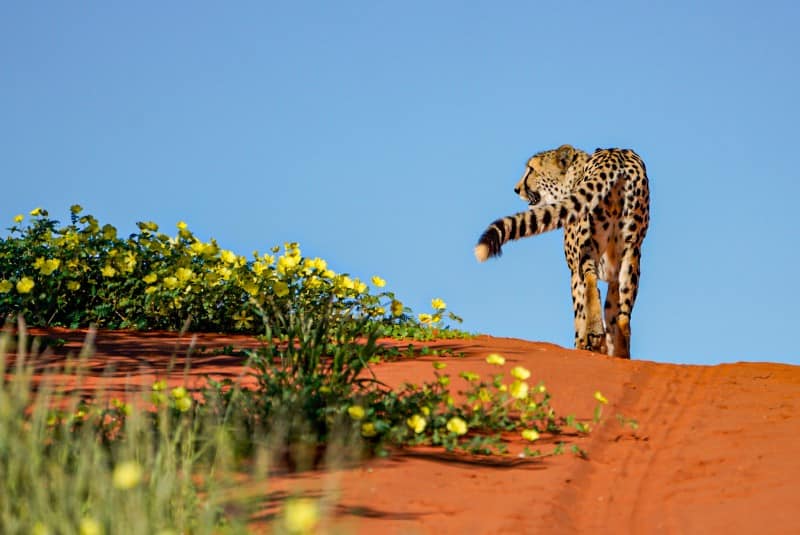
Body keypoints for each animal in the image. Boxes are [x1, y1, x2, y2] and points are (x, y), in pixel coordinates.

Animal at [476, 146, 648, 360]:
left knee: (590, 281)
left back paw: (593, 331)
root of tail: (617, 155)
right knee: (624, 315)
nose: (516, 189)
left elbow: (580, 306)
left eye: (531, 169)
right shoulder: (615, 276)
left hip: (587, 246)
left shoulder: (574, 271)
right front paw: (609, 351)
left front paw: (584, 343)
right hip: (632, 253)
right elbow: (611, 311)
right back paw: (622, 352)